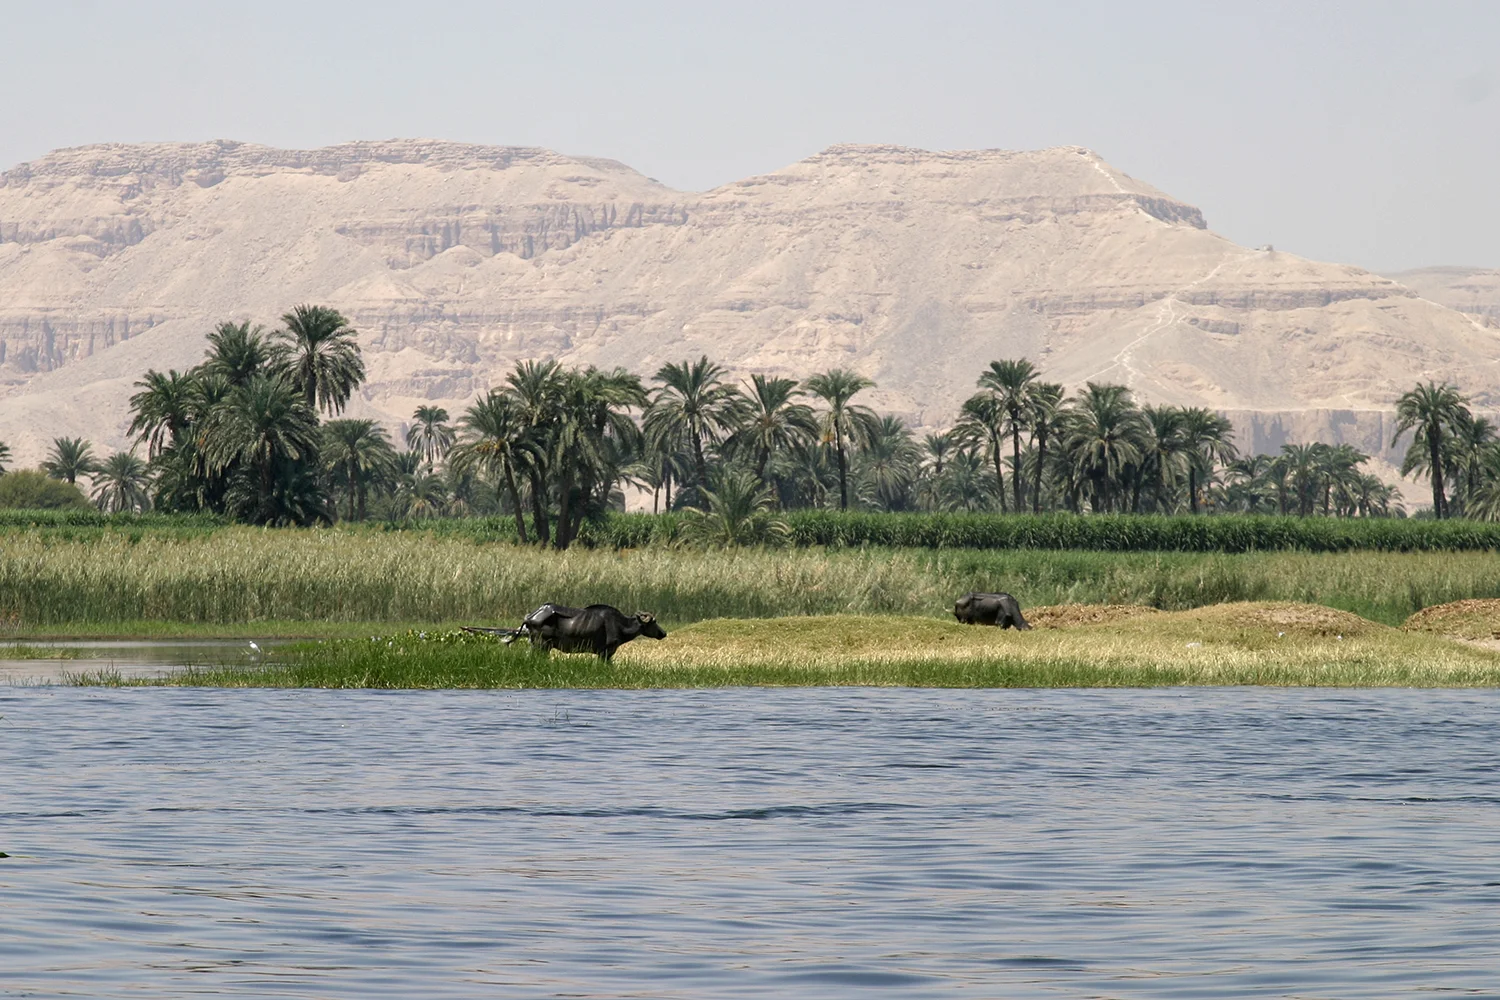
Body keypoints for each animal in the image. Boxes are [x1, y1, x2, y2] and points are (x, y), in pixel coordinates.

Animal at [465, 603, 667, 661]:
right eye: (654, 622)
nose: (663, 633)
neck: (619, 623)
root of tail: (530, 617)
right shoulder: (606, 652)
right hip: (542, 645)